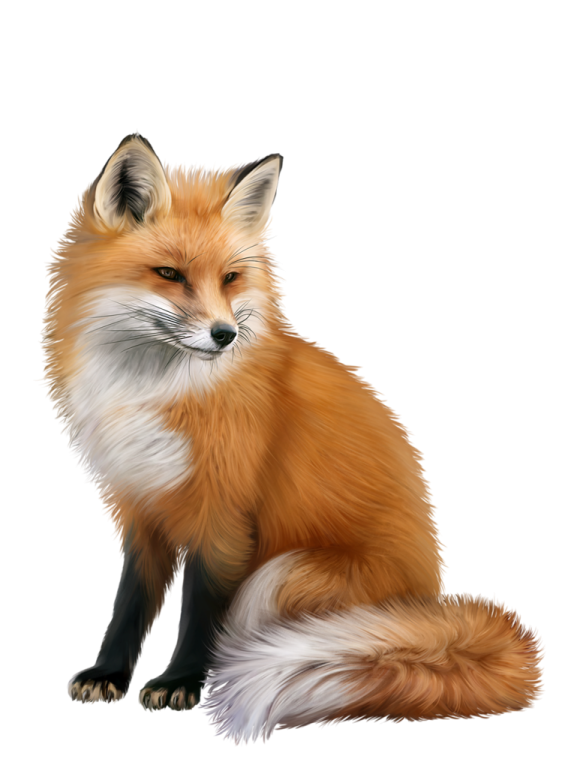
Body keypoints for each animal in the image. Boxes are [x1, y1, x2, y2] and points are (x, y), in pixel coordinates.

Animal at [38, 131, 545, 745]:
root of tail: (432, 600)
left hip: (278, 575)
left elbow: (200, 610)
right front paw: (109, 674)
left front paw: (182, 683)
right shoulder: (140, 504)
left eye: (230, 278)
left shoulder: (224, 514)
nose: (225, 335)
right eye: (169, 274)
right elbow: (129, 603)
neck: (151, 393)